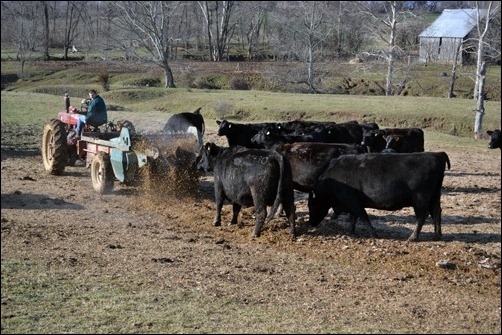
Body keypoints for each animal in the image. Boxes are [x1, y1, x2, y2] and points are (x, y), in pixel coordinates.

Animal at [308, 152, 452, 242]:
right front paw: (352, 231)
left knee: (422, 216)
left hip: (420, 199)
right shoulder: (352, 203)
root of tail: (437, 154)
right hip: (434, 197)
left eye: (312, 206)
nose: (310, 223)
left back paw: (413, 237)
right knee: (436, 212)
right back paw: (437, 235)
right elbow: (354, 217)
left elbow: (363, 216)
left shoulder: (353, 201)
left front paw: (373, 234)